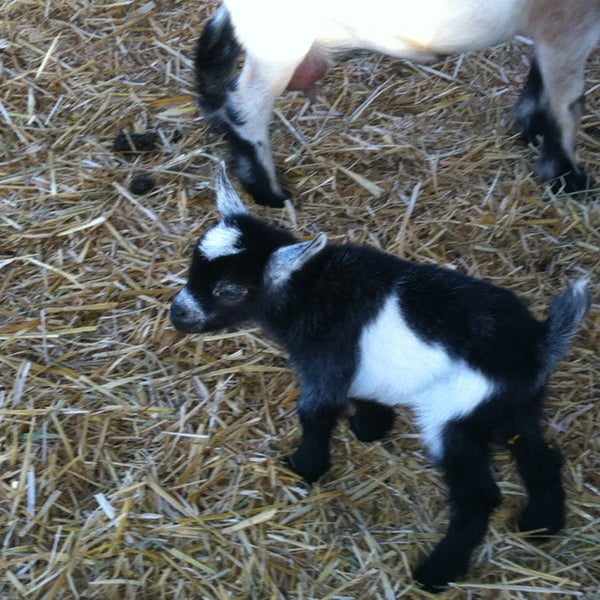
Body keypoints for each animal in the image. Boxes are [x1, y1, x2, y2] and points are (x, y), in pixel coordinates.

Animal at [170, 165, 592, 592]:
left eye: (230, 291)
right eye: (193, 264)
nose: (178, 314)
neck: (309, 289)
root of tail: (536, 345)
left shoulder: (324, 363)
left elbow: (315, 413)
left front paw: (304, 467)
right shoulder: (358, 368)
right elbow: (365, 393)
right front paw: (370, 428)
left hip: (451, 414)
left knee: (478, 496)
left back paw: (436, 572)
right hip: (512, 405)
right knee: (540, 456)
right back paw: (540, 525)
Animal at [197, 0, 600, 206]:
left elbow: (544, 81)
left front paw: (529, 129)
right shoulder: (569, 23)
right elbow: (566, 101)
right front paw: (570, 178)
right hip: (280, 37)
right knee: (246, 104)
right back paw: (269, 192)